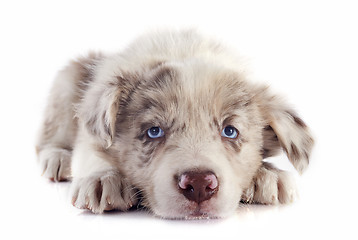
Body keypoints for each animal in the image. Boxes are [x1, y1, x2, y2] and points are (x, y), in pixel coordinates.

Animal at [35, 30, 312, 219]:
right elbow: (93, 152)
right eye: (154, 131)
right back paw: (57, 158)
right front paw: (103, 179)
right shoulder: (90, 132)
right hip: (66, 83)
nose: (199, 184)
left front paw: (268, 174)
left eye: (230, 131)